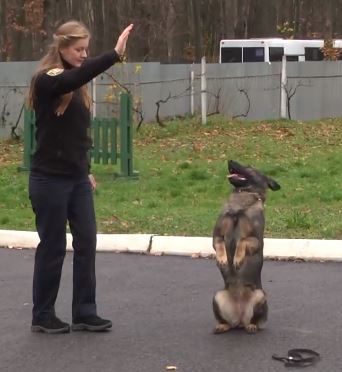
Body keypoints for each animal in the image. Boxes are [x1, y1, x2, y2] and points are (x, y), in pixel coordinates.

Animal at [212, 160, 282, 334]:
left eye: (249, 166)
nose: (230, 160)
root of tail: (240, 319)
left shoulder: (256, 240)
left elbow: (242, 241)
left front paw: (237, 258)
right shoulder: (216, 235)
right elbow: (220, 244)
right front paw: (222, 259)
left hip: (260, 296)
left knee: (255, 320)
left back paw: (252, 325)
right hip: (217, 296)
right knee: (227, 322)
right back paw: (223, 325)